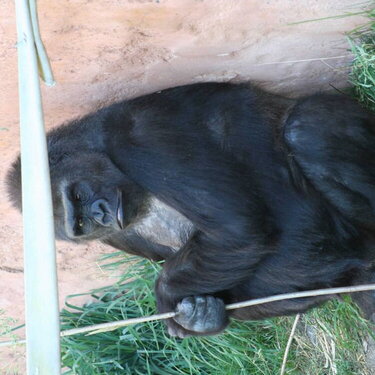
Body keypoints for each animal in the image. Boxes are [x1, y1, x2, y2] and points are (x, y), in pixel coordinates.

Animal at [5, 83, 375, 340]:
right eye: (79, 223)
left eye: (78, 194)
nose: (100, 214)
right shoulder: (114, 235)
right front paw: (199, 316)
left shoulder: (139, 138)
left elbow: (237, 231)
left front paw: (167, 300)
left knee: (306, 127)